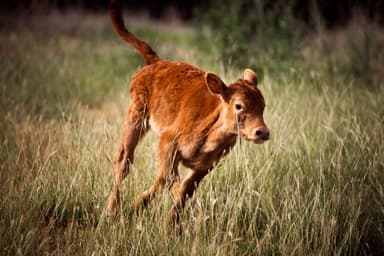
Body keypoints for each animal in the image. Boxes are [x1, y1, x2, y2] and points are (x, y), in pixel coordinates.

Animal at [106, 0, 270, 220]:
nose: (262, 132)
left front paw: (170, 220)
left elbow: (184, 188)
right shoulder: (167, 142)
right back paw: (111, 210)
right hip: (135, 117)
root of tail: (156, 62)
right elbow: (172, 183)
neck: (213, 134)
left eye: (263, 105)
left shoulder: (206, 165)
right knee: (124, 161)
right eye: (239, 106)